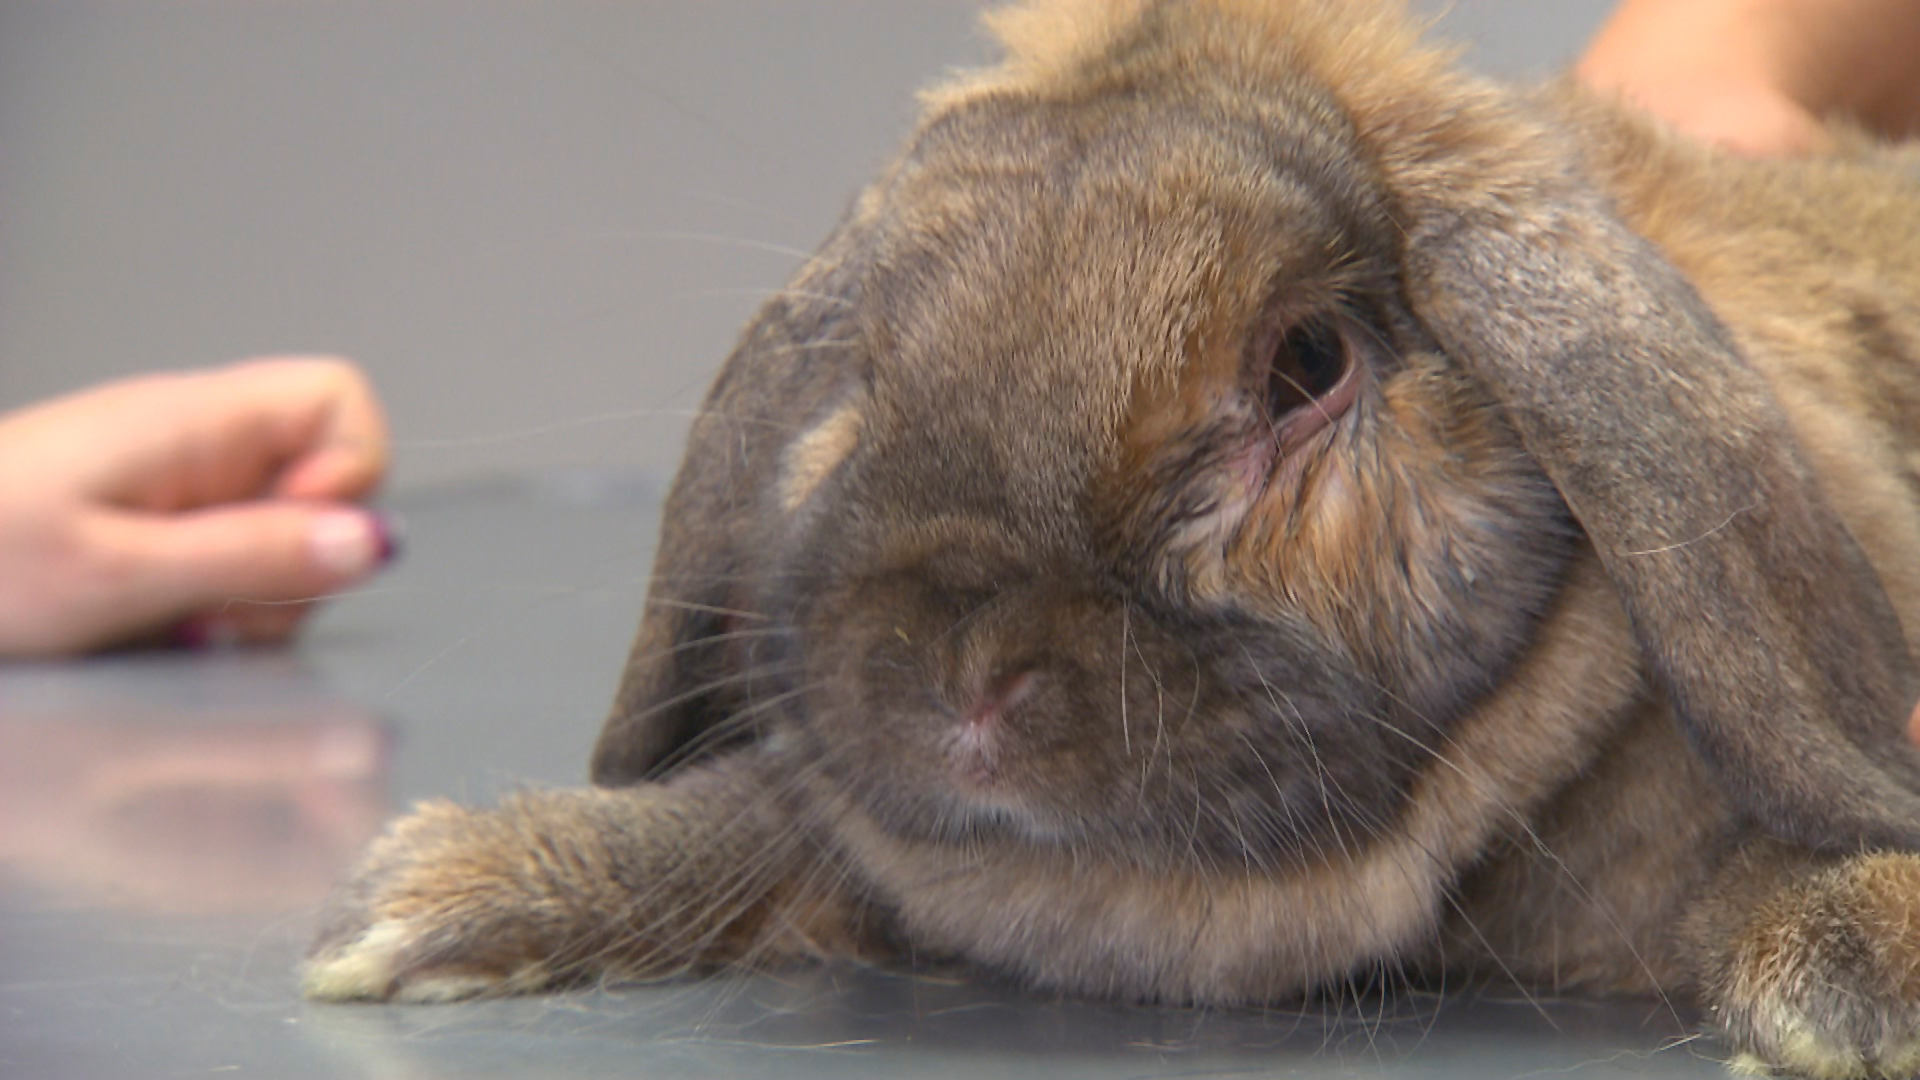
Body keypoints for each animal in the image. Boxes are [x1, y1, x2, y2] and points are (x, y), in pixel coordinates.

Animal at [302, 0, 1920, 1075]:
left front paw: (1854, 969)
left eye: (1308, 364)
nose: (962, 669)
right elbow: (764, 817)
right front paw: (424, 906)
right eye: (867, 363)